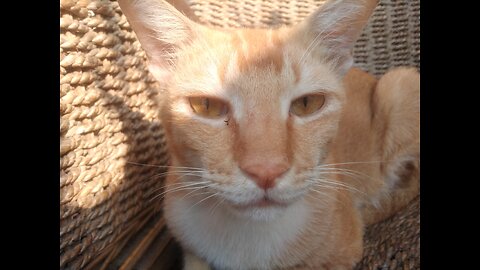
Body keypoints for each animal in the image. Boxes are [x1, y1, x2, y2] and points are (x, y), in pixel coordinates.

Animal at [118, 1, 418, 268]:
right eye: (206, 106)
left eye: (307, 103)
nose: (266, 171)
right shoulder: (192, 250)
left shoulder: (343, 255)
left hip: (400, 83)